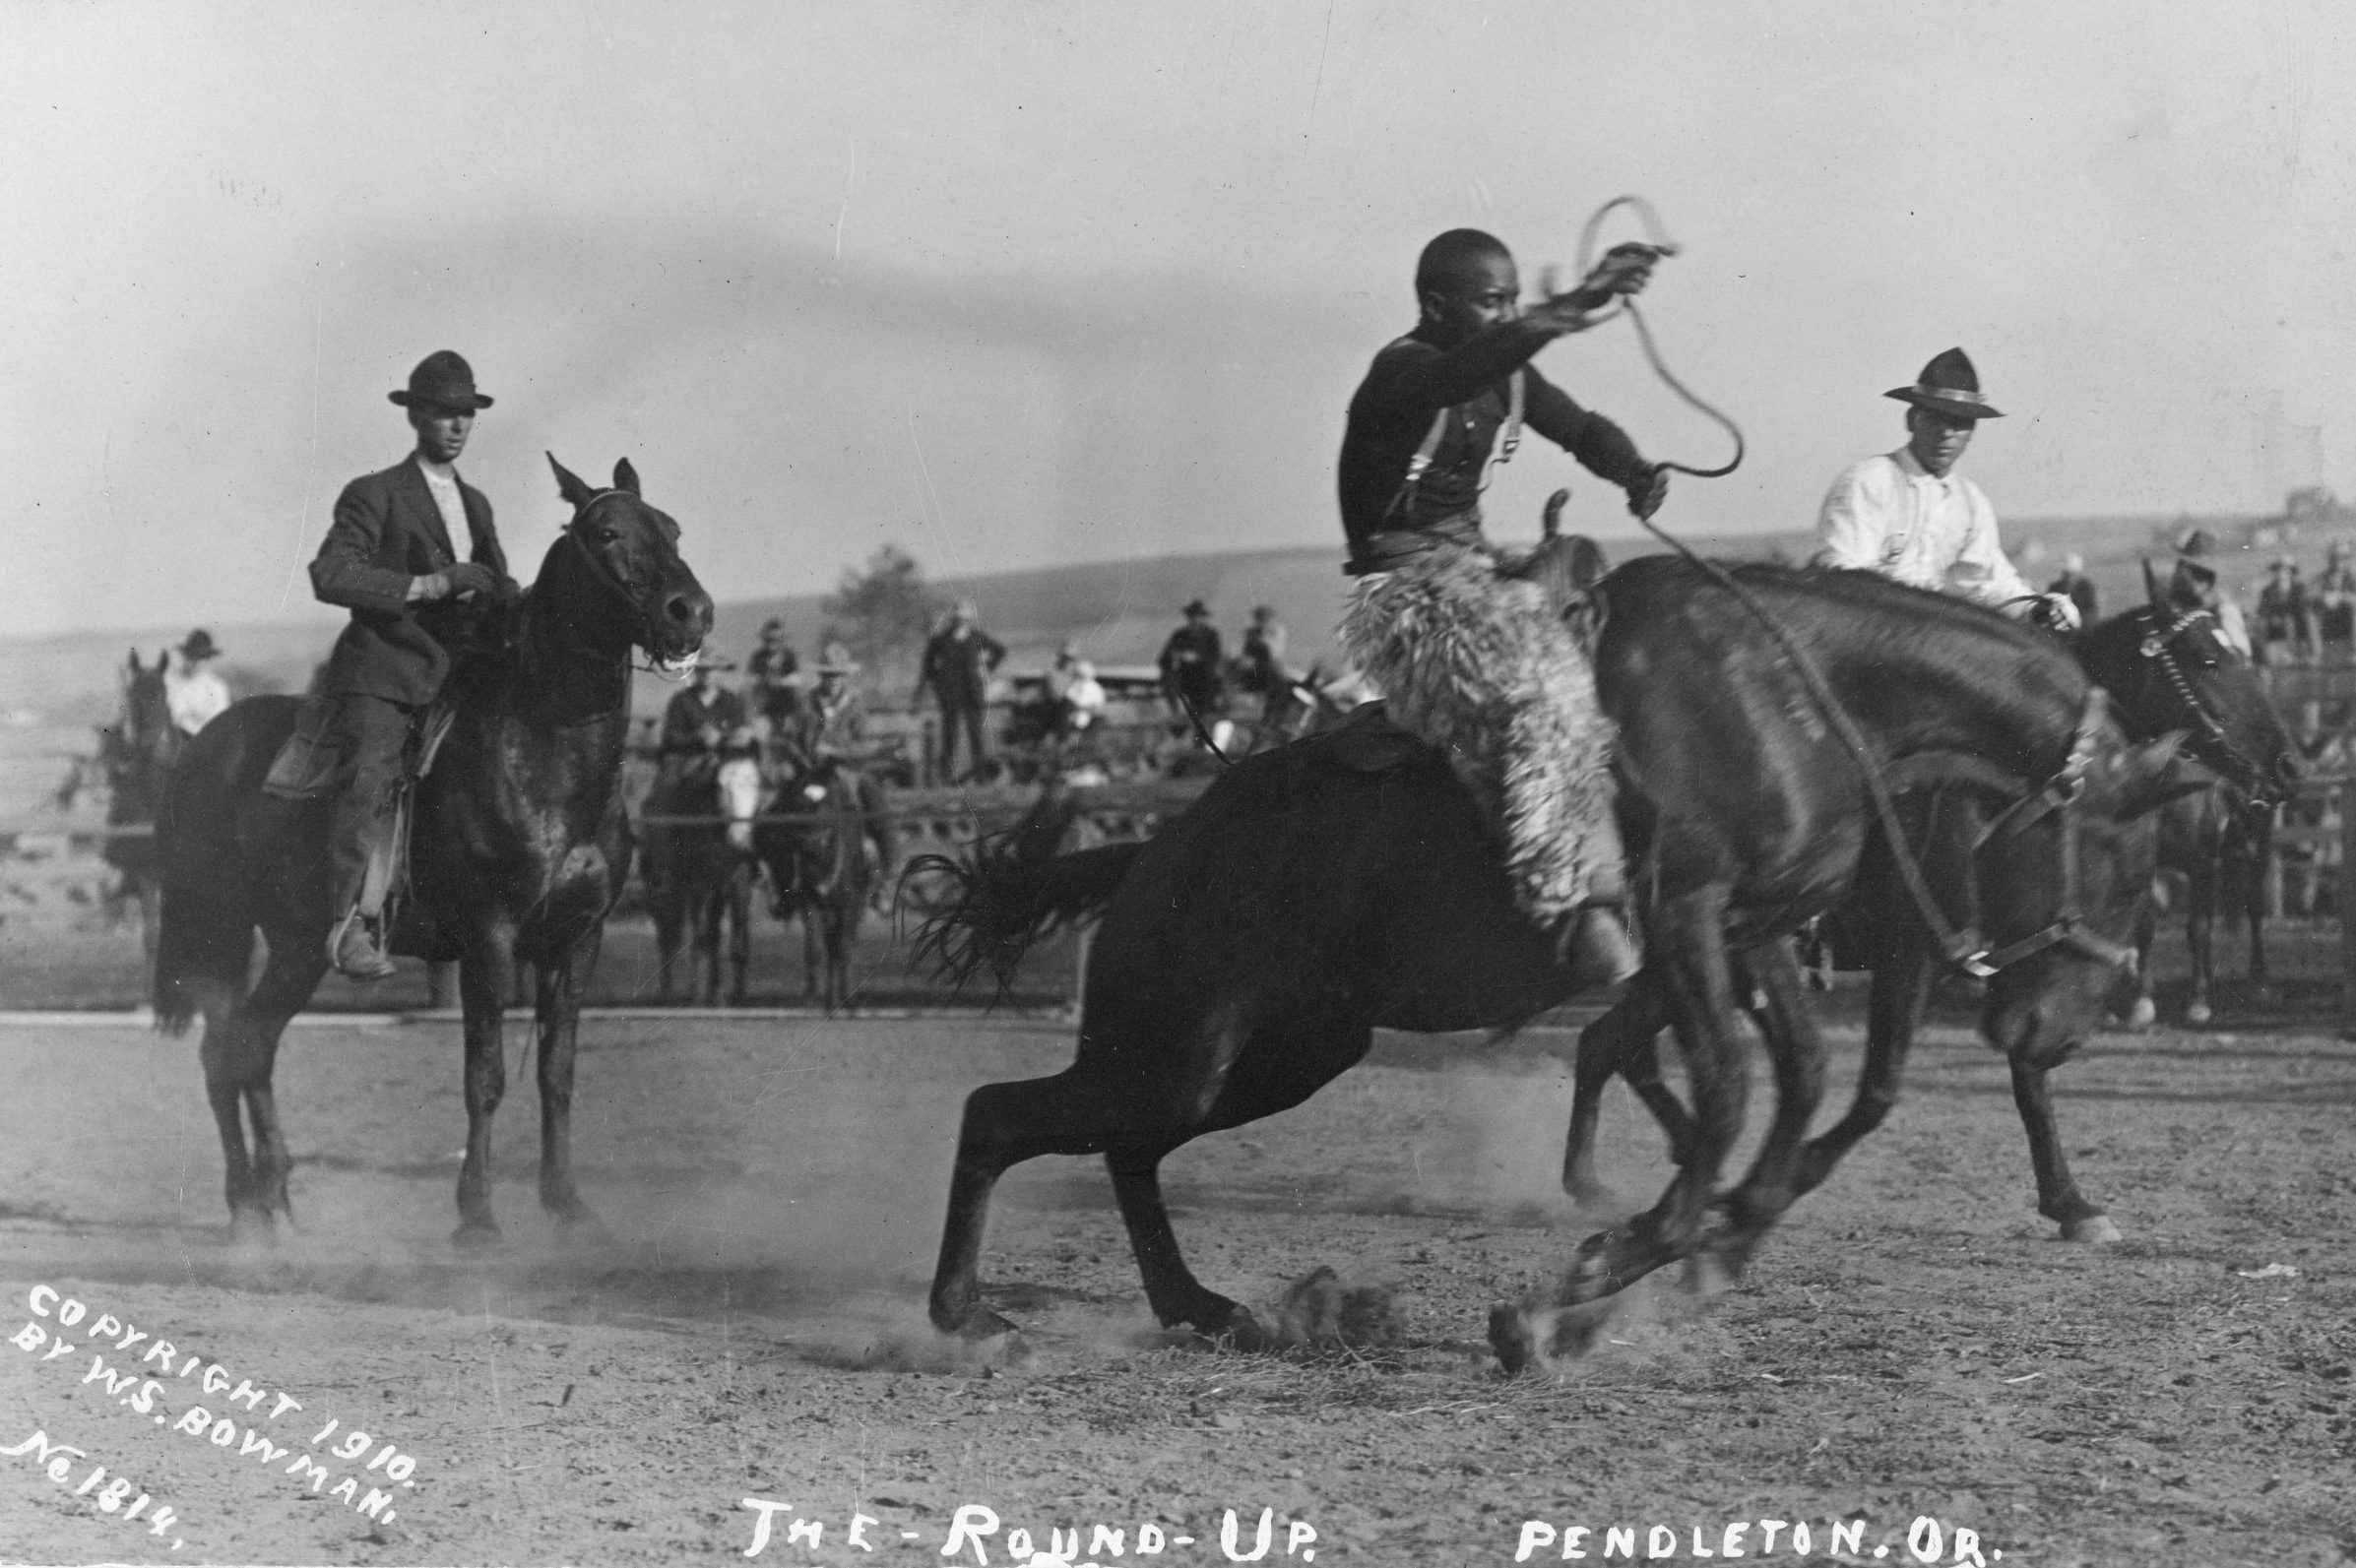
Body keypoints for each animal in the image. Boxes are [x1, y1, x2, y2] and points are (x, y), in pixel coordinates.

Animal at [154, 459, 706, 1242]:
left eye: (673, 527)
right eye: (606, 532)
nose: (691, 612)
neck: (543, 756)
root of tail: (204, 745)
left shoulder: (578, 940)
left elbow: (557, 1074)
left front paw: (567, 1205)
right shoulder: (490, 940)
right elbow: (486, 1076)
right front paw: (476, 1217)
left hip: (296, 943)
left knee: (252, 1046)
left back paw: (276, 1200)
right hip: (221, 928)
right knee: (221, 1051)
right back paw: (245, 1209)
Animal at [753, 758, 876, 1012]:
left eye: (831, 802)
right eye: (800, 802)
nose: (811, 841)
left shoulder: (848, 903)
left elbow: (842, 946)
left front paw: (846, 998)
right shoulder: (809, 901)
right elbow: (816, 949)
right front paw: (817, 998)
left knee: (844, 943)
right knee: (829, 945)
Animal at [909, 555, 2196, 1365]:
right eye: (2121, 861)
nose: (2050, 1034)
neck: (1797, 691)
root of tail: (1148, 850)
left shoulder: (1755, 933)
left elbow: (1798, 1087)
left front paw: (1665, 1264)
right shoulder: (1687, 924)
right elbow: (1730, 1092)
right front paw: (1568, 1300)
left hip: (1268, 1055)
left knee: (1123, 1147)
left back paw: (1215, 1310)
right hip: (1187, 1047)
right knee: (995, 1115)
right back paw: (971, 1319)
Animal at [1555, 574, 2289, 1242]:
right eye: (2208, 658)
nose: (2285, 769)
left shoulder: (2021, 960)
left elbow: (2026, 1070)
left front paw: (2068, 1200)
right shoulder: (1921, 950)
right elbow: (1890, 1085)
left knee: (1611, 1046)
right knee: (1614, 1047)